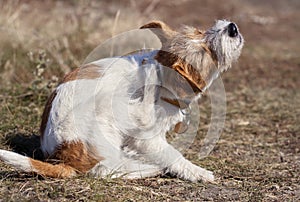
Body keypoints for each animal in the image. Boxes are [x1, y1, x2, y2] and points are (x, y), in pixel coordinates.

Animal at [0, 19, 244, 182]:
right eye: (207, 51)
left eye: (200, 31)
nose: (232, 27)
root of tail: (61, 157)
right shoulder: (147, 137)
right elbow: (172, 154)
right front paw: (198, 172)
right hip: (108, 111)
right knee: (103, 170)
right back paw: (148, 167)